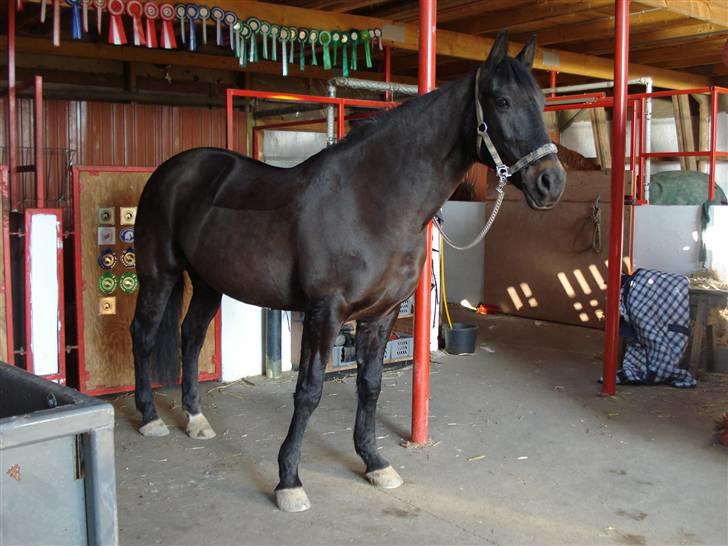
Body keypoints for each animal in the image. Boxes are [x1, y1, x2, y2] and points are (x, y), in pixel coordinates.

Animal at [131, 33, 564, 510]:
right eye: (502, 100)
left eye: (541, 101)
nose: (551, 183)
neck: (371, 200)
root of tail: (172, 171)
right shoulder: (325, 312)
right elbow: (309, 391)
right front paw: (289, 481)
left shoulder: (382, 314)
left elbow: (370, 385)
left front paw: (374, 462)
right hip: (159, 275)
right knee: (144, 336)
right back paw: (150, 418)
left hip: (209, 281)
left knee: (190, 336)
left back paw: (195, 419)